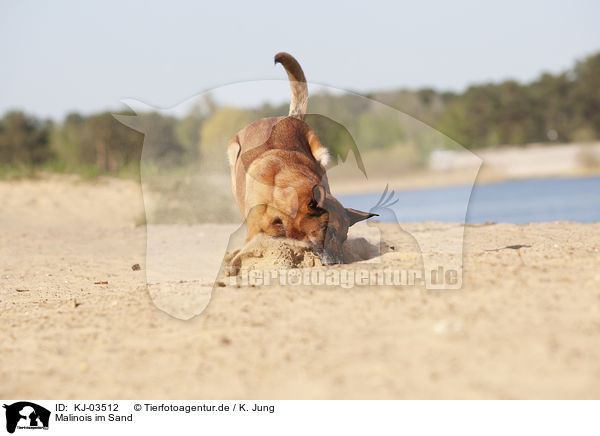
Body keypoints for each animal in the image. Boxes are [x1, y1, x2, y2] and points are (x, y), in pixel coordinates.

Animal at [226, 52, 376, 264]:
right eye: (327, 231)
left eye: (344, 237)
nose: (340, 262)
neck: (280, 194)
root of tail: (290, 118)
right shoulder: (255, 232)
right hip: (233, 154)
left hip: (320, 153)